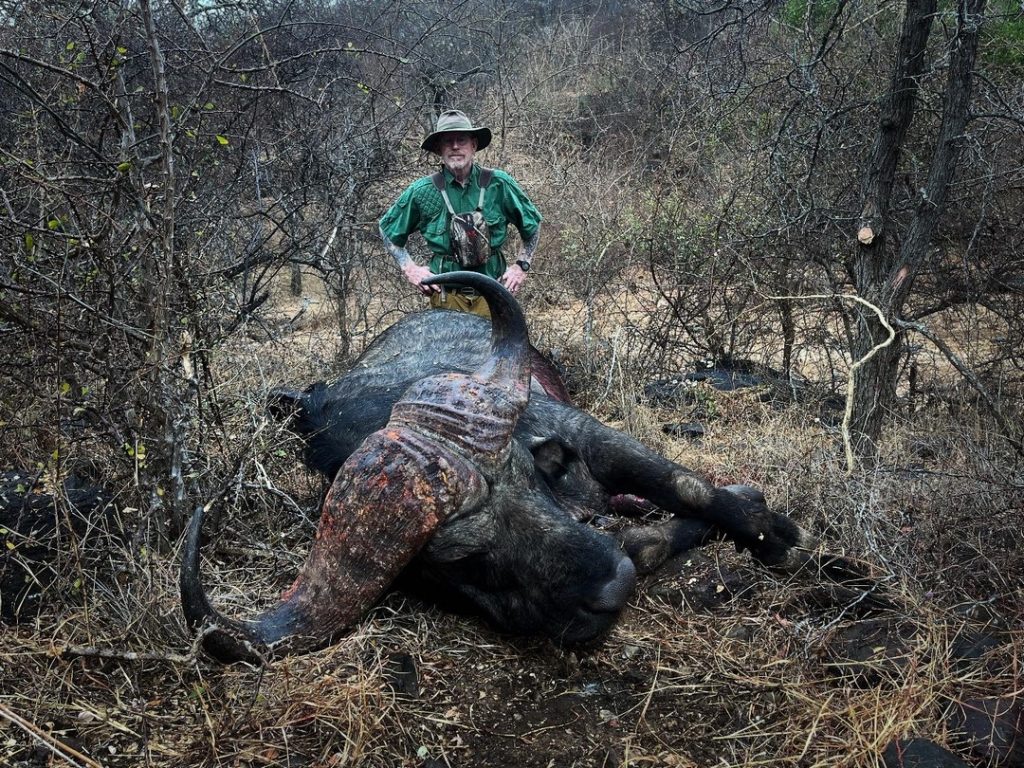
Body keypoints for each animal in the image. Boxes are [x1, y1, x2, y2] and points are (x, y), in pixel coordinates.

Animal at [182, 272, 822, 664]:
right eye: (465, 560)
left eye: (528, 475)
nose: (611, 583)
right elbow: (641, 544)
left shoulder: (589, 433)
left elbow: (689, 486)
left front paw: (779, 535)